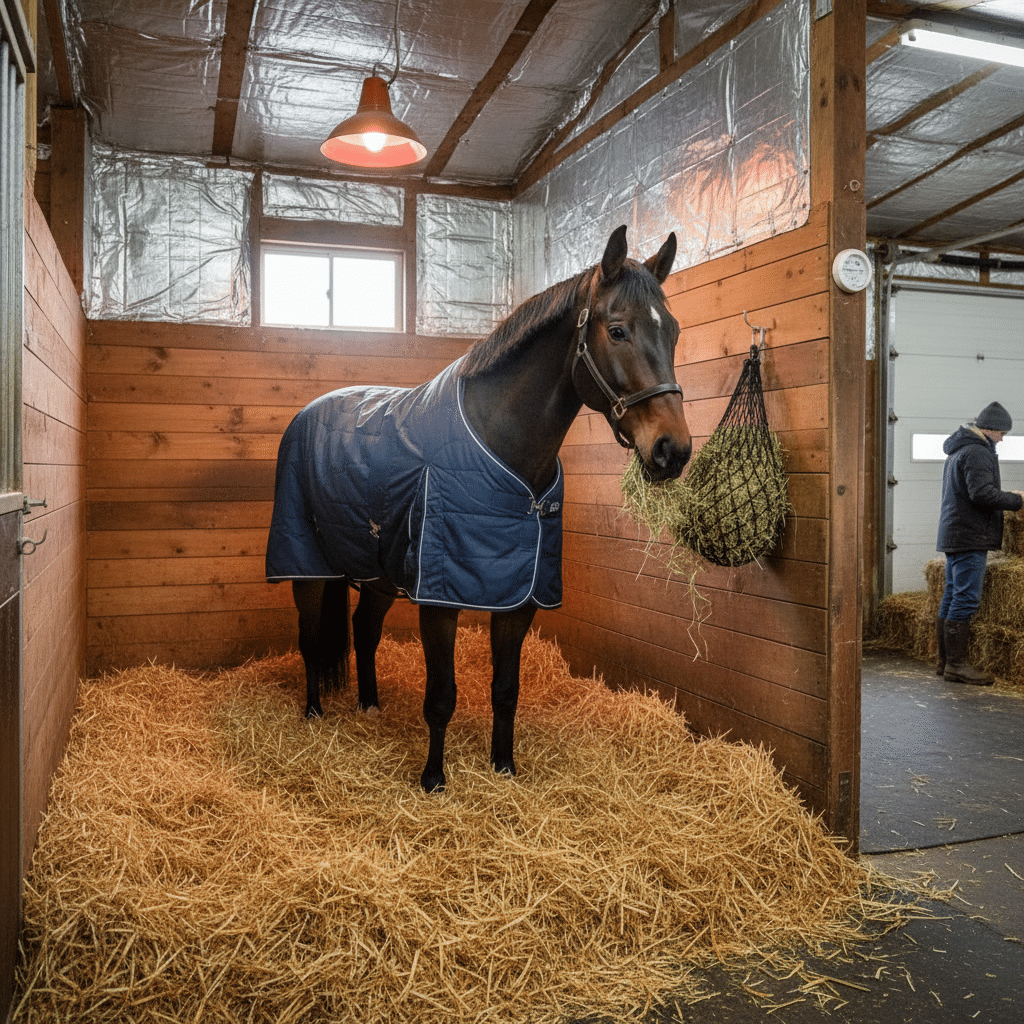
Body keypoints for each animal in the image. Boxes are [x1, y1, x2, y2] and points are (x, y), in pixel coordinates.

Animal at [266, 225, 691, 792]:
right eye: (618, 331)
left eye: (674, 333)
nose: (673, 450)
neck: (504, 450)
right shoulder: (439, 598)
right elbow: (441, 697)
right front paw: (433, 779)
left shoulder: (520, 596)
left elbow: (505, 689)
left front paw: (503, 767)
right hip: (306, 565)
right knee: (312, 637)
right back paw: (313, 712)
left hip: (379, 574)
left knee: (364, 630)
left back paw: (370, 705)